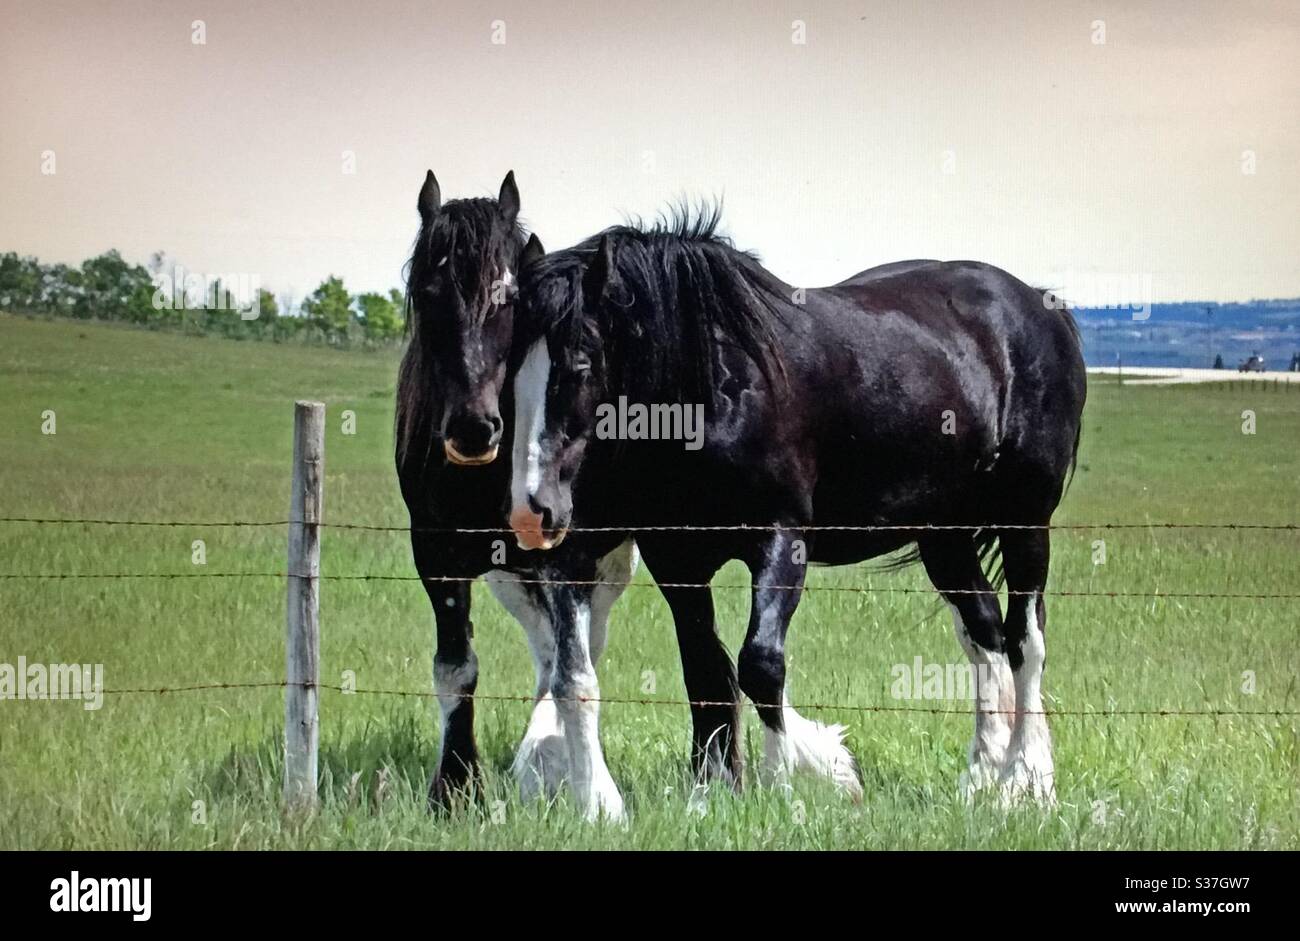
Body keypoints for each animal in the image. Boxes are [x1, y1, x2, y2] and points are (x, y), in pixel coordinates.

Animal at [396, 170, 637, 817]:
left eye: (506, 300)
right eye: (426, 293)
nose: (473, 429)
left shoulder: (567, 554)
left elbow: (577, 671)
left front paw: (596, 797)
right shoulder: (436, 555)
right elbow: (455, 668)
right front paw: (454, 786)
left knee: (579, 646)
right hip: (509, 576)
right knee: (544, 650)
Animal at [505, 209, 1087, 806]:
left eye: (579, 364)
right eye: (510, 367)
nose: (533, 511)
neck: (712, 387)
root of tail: (1040, 305)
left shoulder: (781, 541)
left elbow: (761, 665)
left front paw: (781, 787)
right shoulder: (678, 562)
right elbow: (706, 673)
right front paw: (711, 794)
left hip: (1025, 522)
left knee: (1025, 640)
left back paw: (1028, 776)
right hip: (943, 536)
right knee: (985, 633)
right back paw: (982, 776)